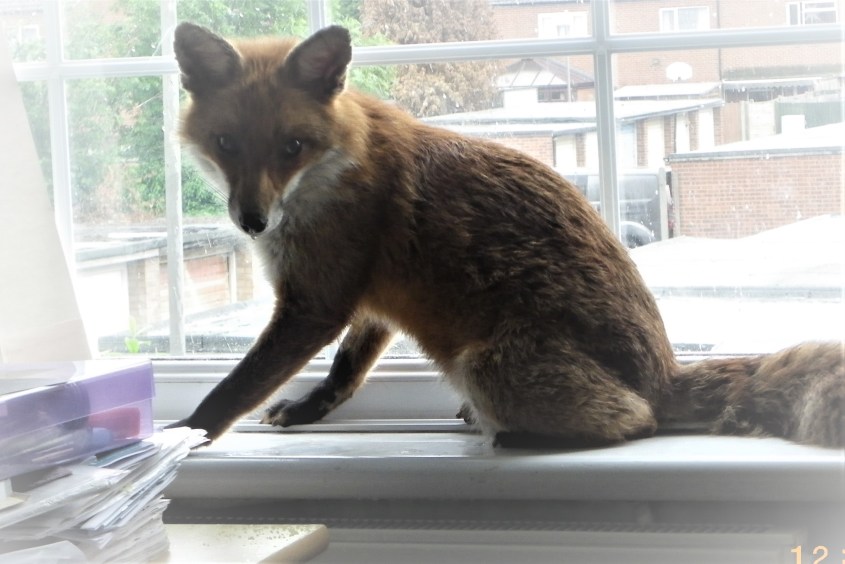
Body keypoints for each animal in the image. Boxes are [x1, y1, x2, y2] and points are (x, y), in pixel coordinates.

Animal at [169, 22, 844, 448]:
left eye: (292, 147)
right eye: (226, 144)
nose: (252, 221)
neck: (339, 164)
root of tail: (663, 372)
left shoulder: (315, 304)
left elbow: (233, 390)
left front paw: (181, 438)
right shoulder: (367, 300)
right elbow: (345, 373)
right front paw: (310, 409)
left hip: (484, 362)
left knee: (641, 422)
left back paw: (517, 434)